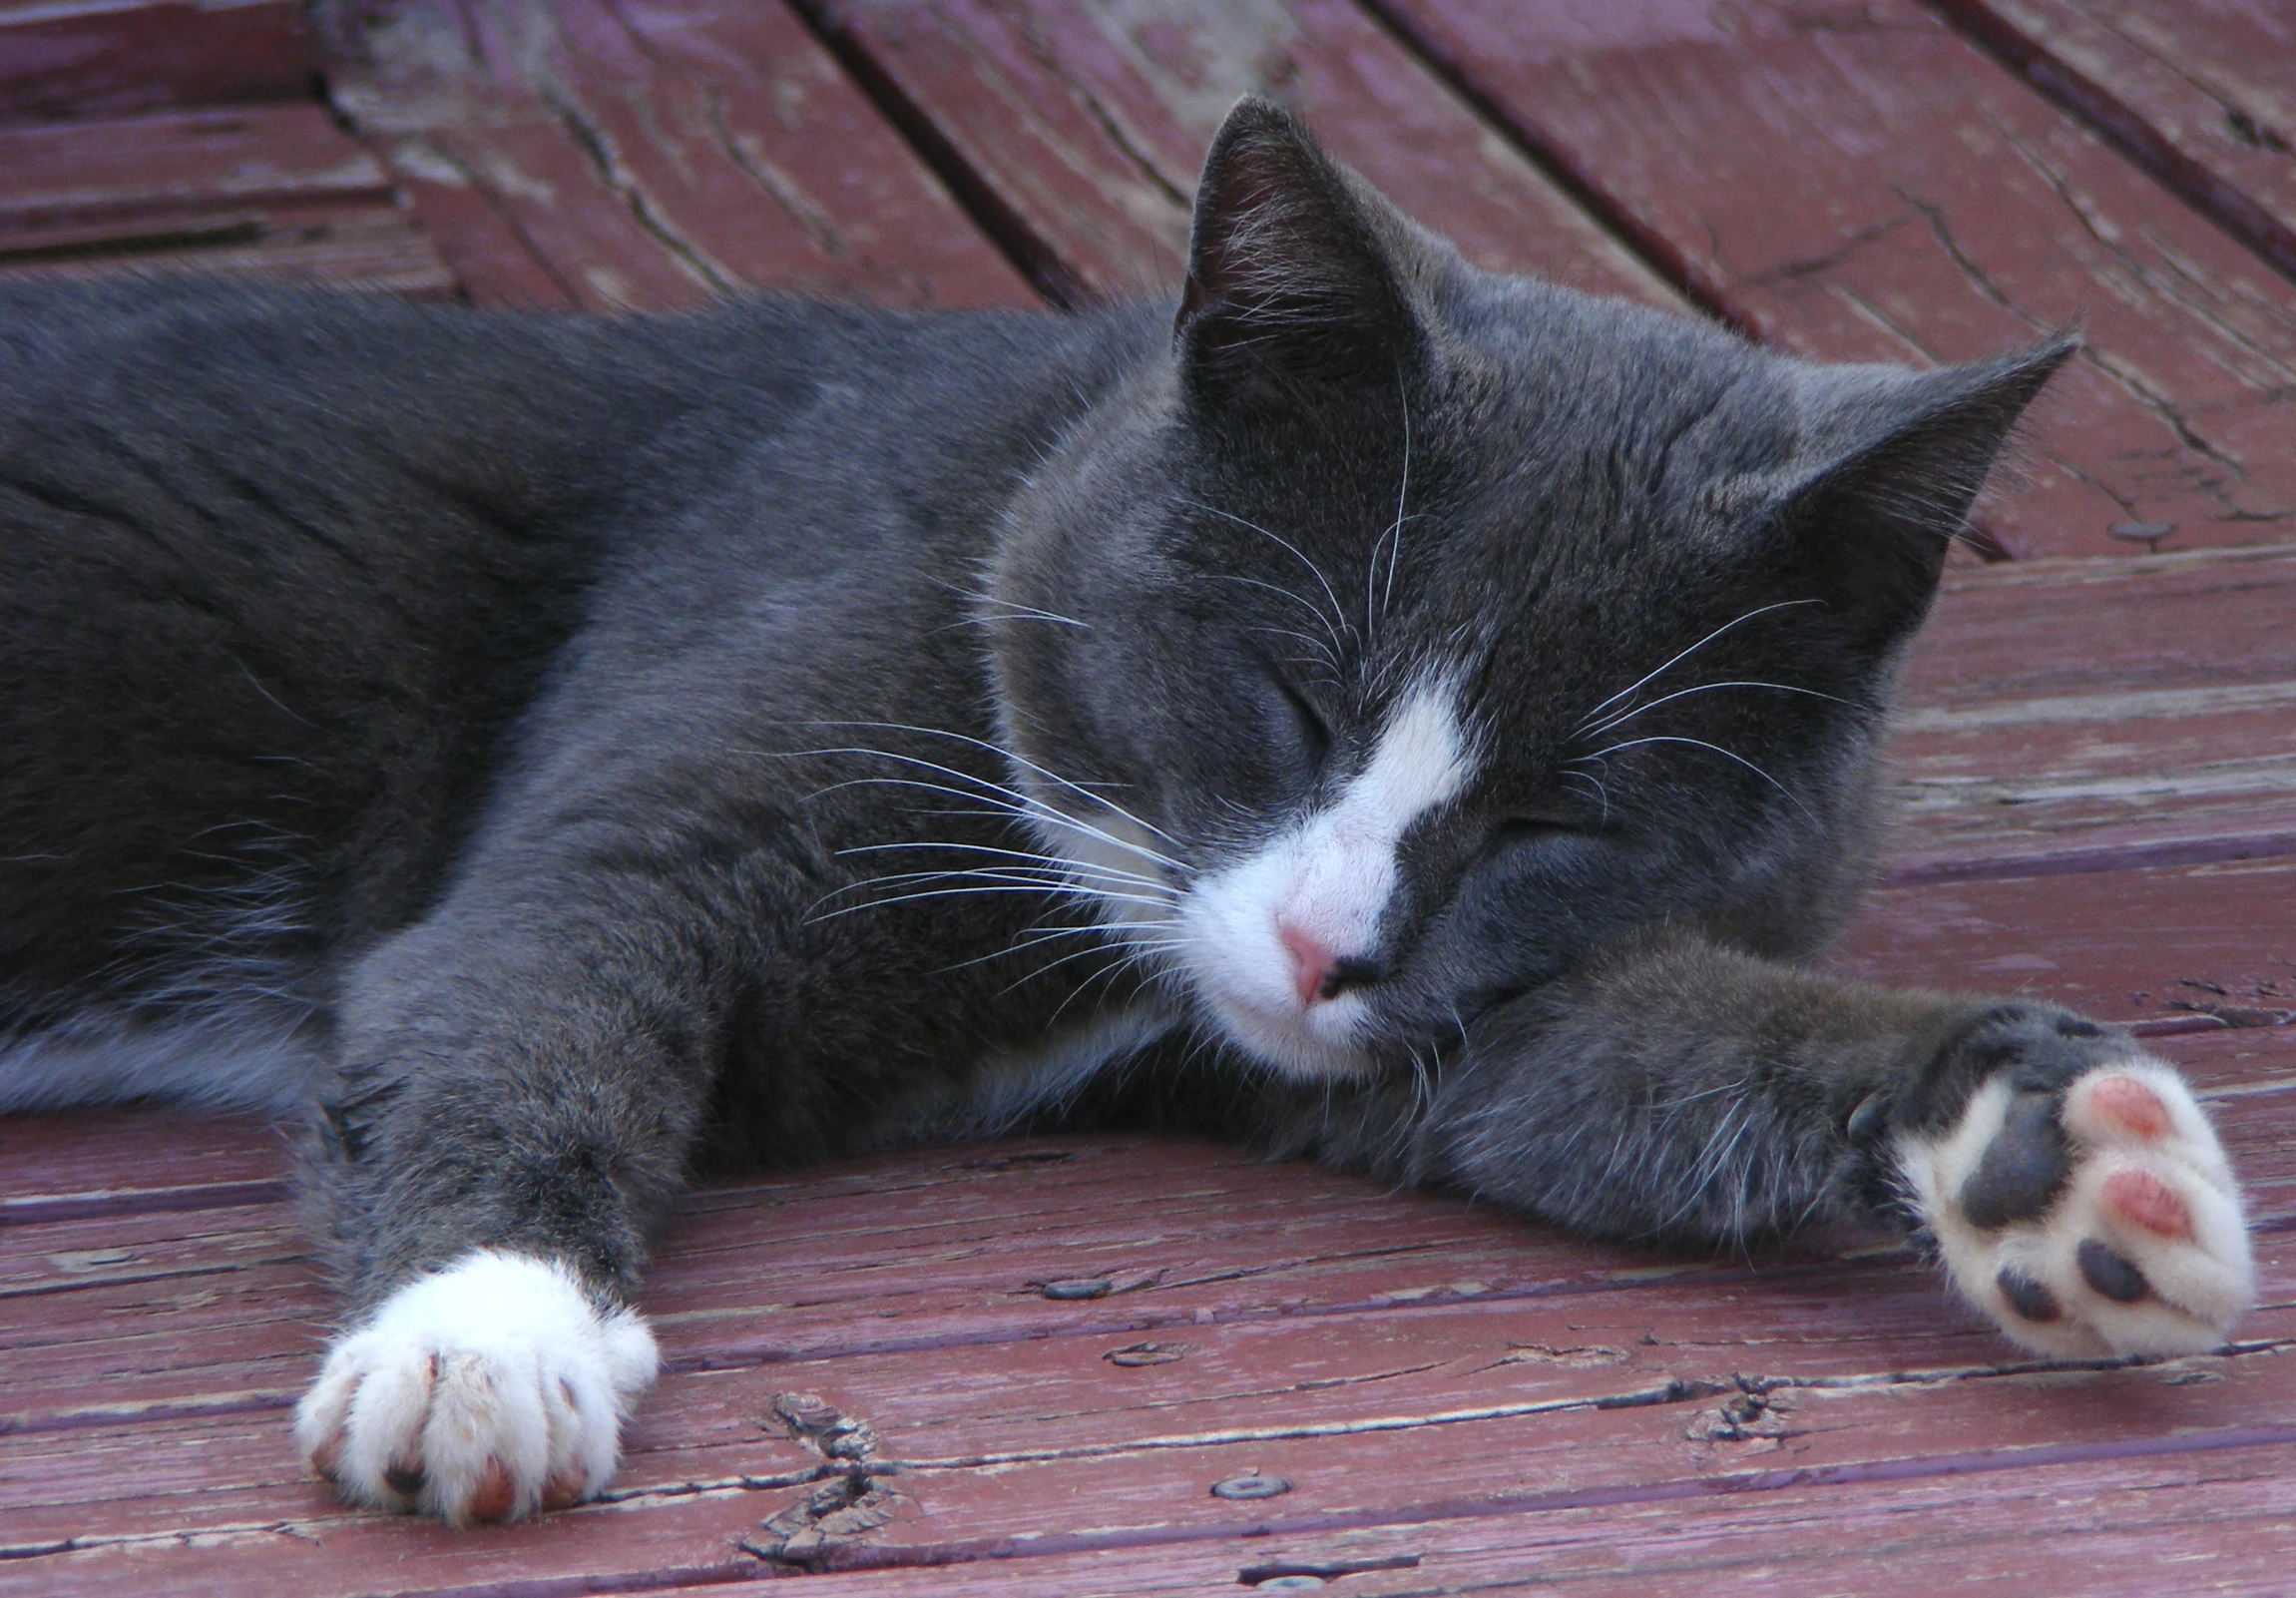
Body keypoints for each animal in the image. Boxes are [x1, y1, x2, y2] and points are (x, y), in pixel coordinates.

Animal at [0, 100, 2259, 1524]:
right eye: (1290, 693)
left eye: (1566, 818)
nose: (1325, 943)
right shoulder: (679, 735)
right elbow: (520, 982)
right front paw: (480, 1335)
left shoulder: (1322, 1036)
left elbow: (1614, 1065)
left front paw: (2041, 1138)